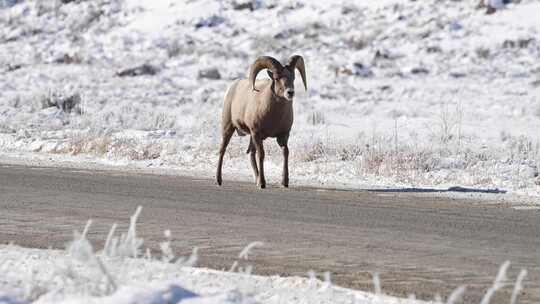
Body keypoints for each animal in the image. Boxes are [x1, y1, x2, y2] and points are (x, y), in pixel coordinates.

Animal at [216, 54, 308, 188]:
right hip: (228, 128)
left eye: (293, 77)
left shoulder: (283, 135)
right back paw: (219, 180)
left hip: (250, 137)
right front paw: (262, 183)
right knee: (222, 150)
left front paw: (284, 182)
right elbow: (261, 154)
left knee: (251, 153)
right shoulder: (257, 133)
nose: (290, 92)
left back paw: (256, 179)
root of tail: (233, 86)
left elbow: (285, 152)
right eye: (277, 78)